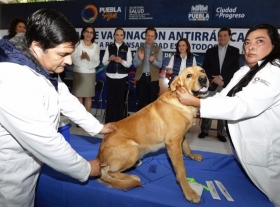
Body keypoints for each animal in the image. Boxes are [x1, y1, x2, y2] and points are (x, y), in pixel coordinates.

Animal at [96, 66, 208, 204]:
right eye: (189, 75)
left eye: (202, 71)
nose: (203, 79)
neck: (180, 102)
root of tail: (99, 156)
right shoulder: (173, 143)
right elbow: (181, 170)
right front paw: (188, 192)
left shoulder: (180, 137)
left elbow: (187, 147)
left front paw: (193, 156)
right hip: (133, 148)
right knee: (109, 172)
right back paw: (131, 176)